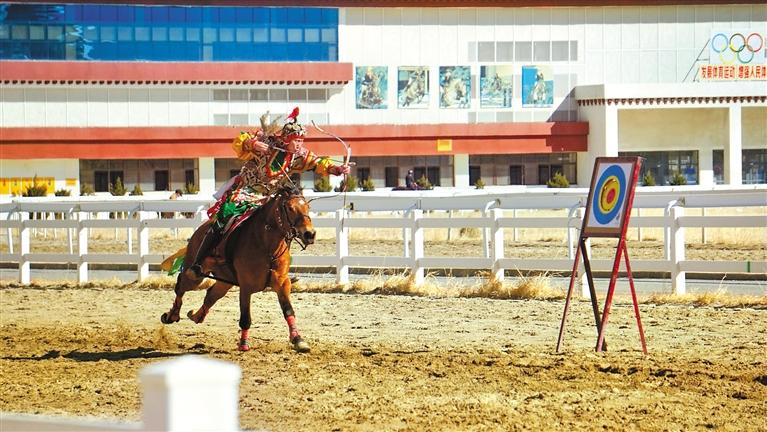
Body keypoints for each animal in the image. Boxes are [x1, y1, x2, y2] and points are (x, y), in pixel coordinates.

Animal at [160, 184, 316, 352]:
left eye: (308, 207)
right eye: (290, 208)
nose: (310, 234)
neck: (266, 246)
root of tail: (200, 230)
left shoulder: (282, 283)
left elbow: (288, 310)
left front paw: (298, 340)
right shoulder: (246, 287)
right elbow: (245, 317)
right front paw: (243, 344)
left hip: (224, 281)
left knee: (211, 295)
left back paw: (196, 315)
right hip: (195, 275)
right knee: (181, 285)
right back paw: (172, 315)